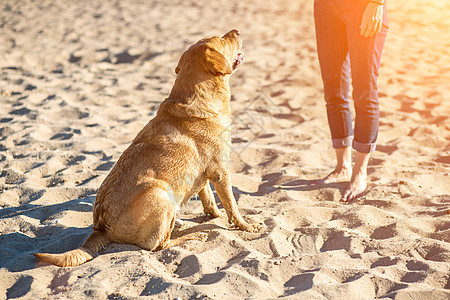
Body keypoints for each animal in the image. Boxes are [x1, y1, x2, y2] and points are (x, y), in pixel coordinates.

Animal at [34, 29, 260, 266]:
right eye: (222, 38)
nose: (236, 31)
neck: (198, 95)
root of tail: (101, 228)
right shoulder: (220, 171)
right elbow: (232, 206)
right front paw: (246, 226)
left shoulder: (204, 172)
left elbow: (207, 197)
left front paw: (214, 214)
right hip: (161, 194)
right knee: (158, 244)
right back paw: (189, 236)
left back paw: (182, 223)